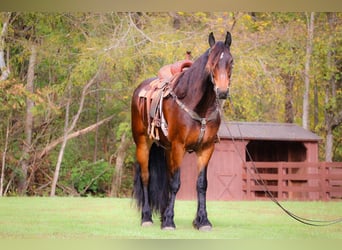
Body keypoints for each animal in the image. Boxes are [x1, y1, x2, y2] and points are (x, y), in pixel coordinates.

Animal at [131, 31, 232, 230]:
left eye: (231, 61)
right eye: (212, 62)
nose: (223, 91)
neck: (199, 106)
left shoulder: (206, 148)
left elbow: (201, 184)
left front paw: (202, 220)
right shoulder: (179, 147)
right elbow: (175, 183)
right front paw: (170, 221)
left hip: (167, 149)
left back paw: (162, 215)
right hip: (142, 143)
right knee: (146, 178)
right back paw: (147, 217)